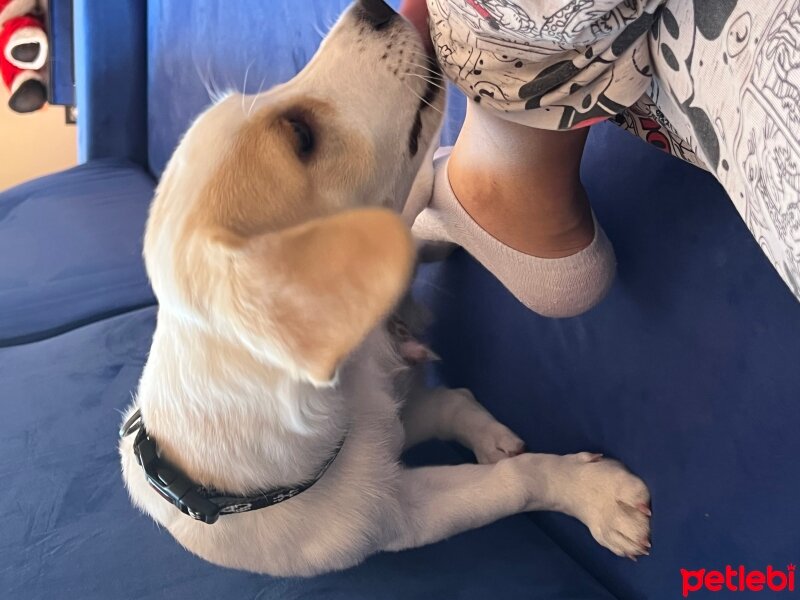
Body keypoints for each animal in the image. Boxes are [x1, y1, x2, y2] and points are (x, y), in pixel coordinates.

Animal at [122, 0, 652, 576]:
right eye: (301, 136)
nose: (372, 8)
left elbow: (452, 403)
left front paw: (497, 438)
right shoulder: (399, 509)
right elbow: (508, 477)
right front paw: (592, 494)